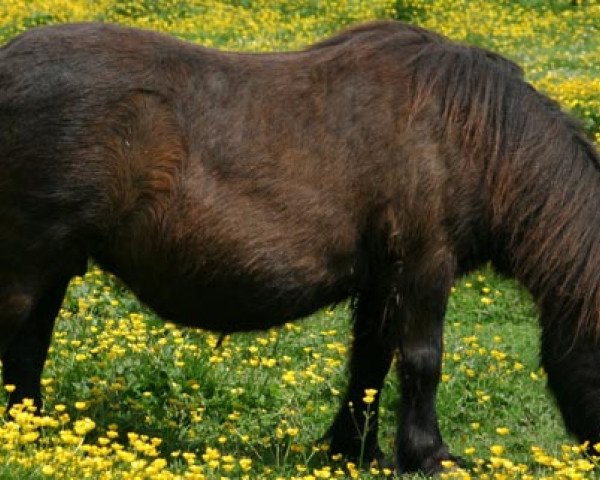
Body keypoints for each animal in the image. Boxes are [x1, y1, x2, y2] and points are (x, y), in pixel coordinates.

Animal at [1, 20, 600, 474]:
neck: (470, 136)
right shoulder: (426, 262)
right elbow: (421, 360)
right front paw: (430, 457)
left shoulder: (383, 278)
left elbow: (369, 363)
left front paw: (354, 449)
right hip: (26, 265)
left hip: (52, 268)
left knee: (29, 347)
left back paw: (34, 432)